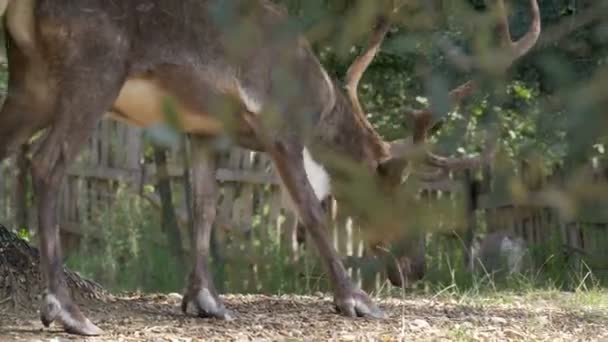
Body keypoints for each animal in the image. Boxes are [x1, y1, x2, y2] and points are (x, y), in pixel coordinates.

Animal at [0, 0, 540, 336]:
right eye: (403, 193)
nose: (416, 267)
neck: (321, 105)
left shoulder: (203, 132)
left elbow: (205, 208)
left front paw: (204, 300)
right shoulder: (280, 127)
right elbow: (313, 213)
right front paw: (355, 300)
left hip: (32, 82)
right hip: (95, 68)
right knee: (46, 163)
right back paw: (67, 311)